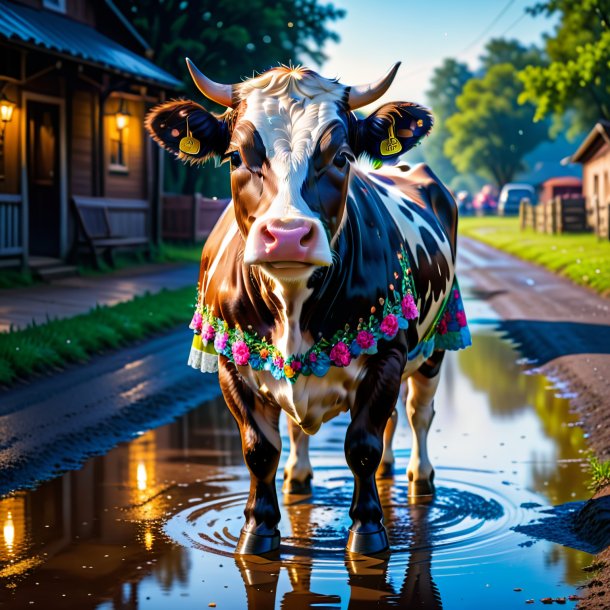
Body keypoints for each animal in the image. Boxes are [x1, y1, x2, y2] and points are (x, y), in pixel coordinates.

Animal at [146, 59, 470, 552]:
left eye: (341, 158)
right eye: (237, 157)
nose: (287, 235)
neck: (292, 304)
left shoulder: (388, 354)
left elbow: (362, 445)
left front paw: (367, 532)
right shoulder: (229, 363)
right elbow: (260, 449)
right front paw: (258, 531)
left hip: (434, 344)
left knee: (418, 413)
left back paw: (420, 475)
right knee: (316, 428)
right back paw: (299, 477)